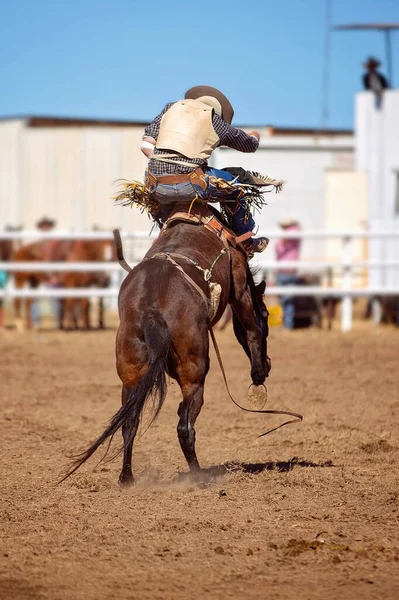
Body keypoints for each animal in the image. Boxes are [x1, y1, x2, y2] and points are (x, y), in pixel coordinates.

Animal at [65, 207, 272, 488]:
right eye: (267, 314)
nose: (268, 364)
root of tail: (151, 310)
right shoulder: (239, 285)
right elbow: (251, 327)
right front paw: (258, 372)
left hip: (131, 376)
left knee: (129, 422)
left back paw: (127, 477)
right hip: (193, 375)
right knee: (185, 425)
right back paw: (199, 477)